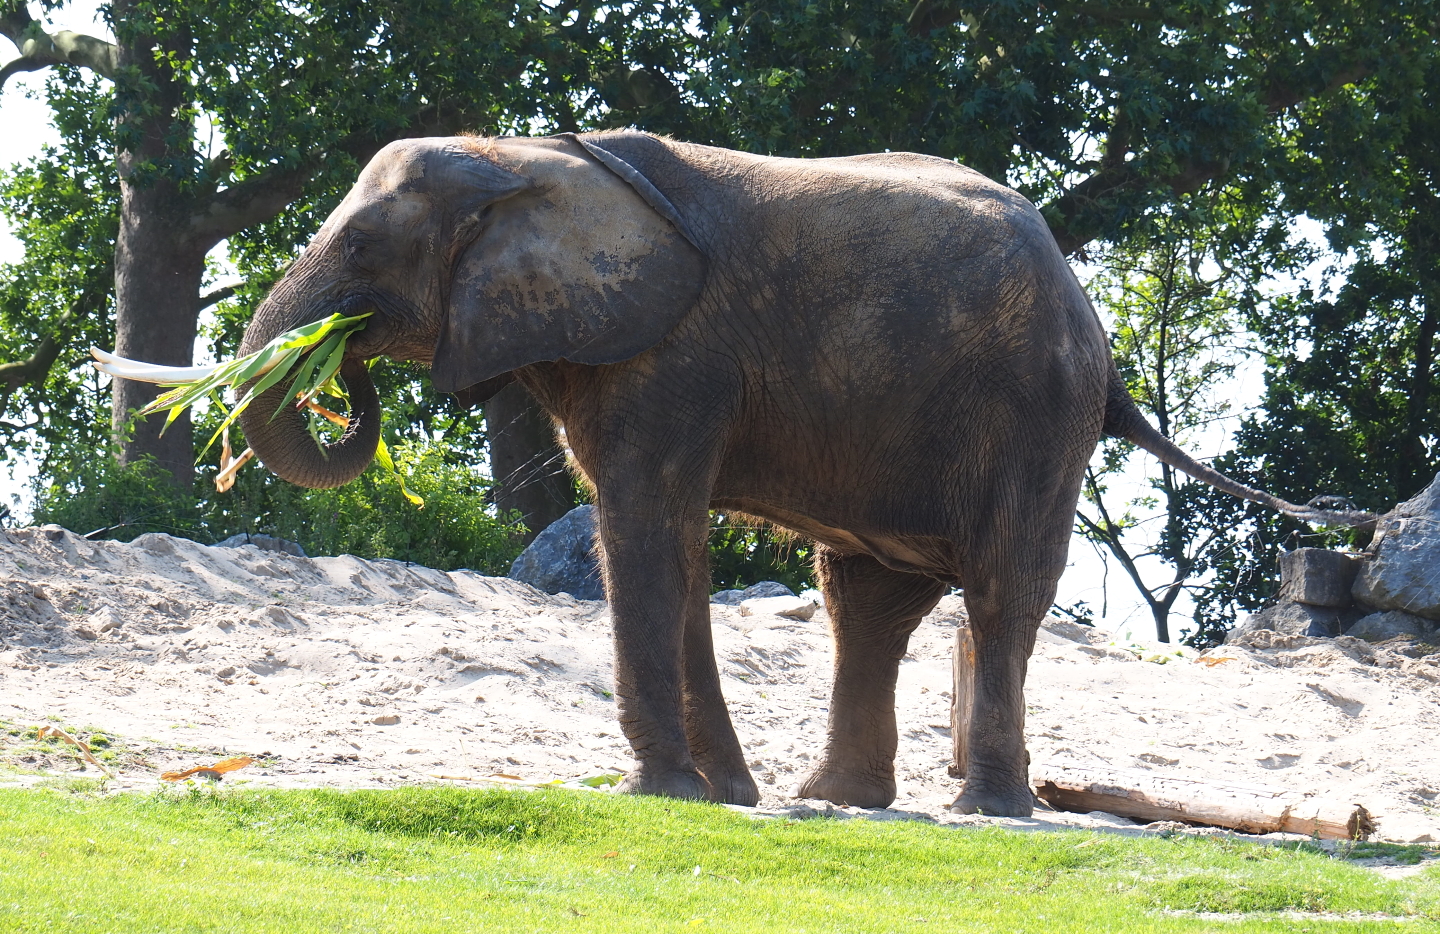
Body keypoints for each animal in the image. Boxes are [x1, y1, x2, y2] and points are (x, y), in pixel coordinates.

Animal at [234, 130, 1369, 816]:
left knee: (1000, 594)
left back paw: (983, 809)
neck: (526, 156)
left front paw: (661, 794)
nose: (338, 368)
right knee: (863, 602)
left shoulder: (675, 354)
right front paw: (723, 796)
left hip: (1036, 417)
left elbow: (645, 526)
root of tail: (1095, 325)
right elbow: (670, 544)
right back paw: (833, 799)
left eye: (364, 245)